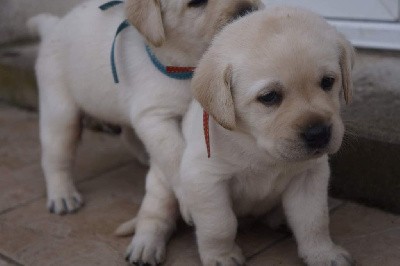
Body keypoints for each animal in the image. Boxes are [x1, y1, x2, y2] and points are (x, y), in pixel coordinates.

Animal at [29, 0, 264, 215]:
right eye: (196, 3)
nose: (247, 10)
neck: (184, 65)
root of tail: (53, 26)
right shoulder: (154, 117)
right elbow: (175, 156)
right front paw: (190, 202)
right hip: (60, 112)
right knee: (54, 157)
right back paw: (62, 195)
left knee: (127, 133)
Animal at [126, 5, 354, 266]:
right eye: (269, 97)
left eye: (328, 81)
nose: (318, 133)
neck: (258, 147)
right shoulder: (205, 179)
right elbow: (220, 225)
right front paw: (221, 256)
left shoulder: (309, 176)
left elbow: (314, 221)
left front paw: (323, 253)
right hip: (162, 184)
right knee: (154, 215)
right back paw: (146, 245)